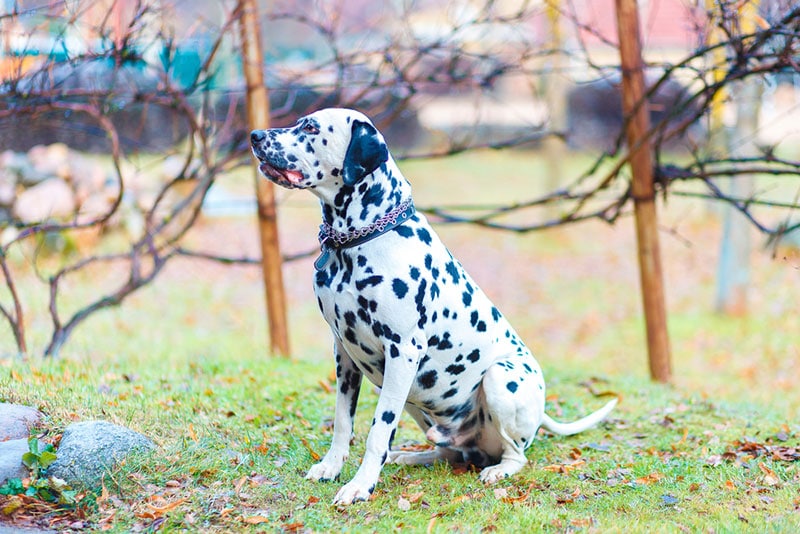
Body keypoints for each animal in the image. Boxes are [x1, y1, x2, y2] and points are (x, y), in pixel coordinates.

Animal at [250, 109, 620, 506]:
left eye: (310, 127)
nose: (255, 135)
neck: (359, 240)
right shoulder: (344, 354)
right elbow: (343, 422)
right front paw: (331, 468)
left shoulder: (402, 352)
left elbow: (377, 431)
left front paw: (360, 485)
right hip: (414, 397)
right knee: (447, 452)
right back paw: (410, 456)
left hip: (498, 378)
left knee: (516, 454)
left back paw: (498, 469)